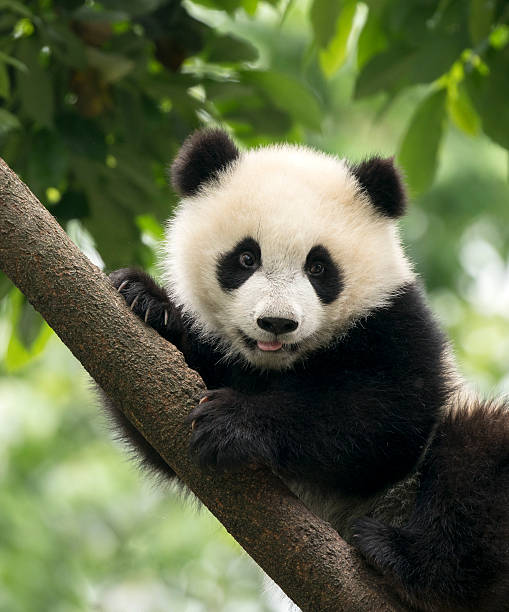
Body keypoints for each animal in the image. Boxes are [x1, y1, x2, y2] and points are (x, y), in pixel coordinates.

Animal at [104, 129, 508, 612]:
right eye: (246, 258)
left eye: (318, 267)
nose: (277, 323)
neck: (280, 364)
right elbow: (156, 423)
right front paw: (145, 301)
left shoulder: (396, 322)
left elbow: (388, 419)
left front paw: (233, 423)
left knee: (476, 453)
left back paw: (403, 560)